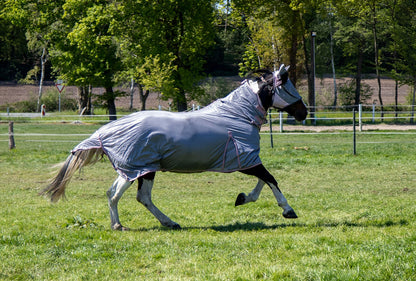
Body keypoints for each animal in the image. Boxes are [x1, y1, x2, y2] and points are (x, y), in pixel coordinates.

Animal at [40, 64, 308, 229]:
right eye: (288, 86)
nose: (303, 112)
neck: (237, 116)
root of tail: (105, 131)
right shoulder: (245, 160)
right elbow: (271, 178)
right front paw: (288, 210)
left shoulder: (246, 160)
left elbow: (264, 180)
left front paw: (242, 198)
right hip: (138, 169)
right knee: (124, 195)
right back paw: (122, 225)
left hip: (137, 170)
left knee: (123, 195)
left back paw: (165, 223)